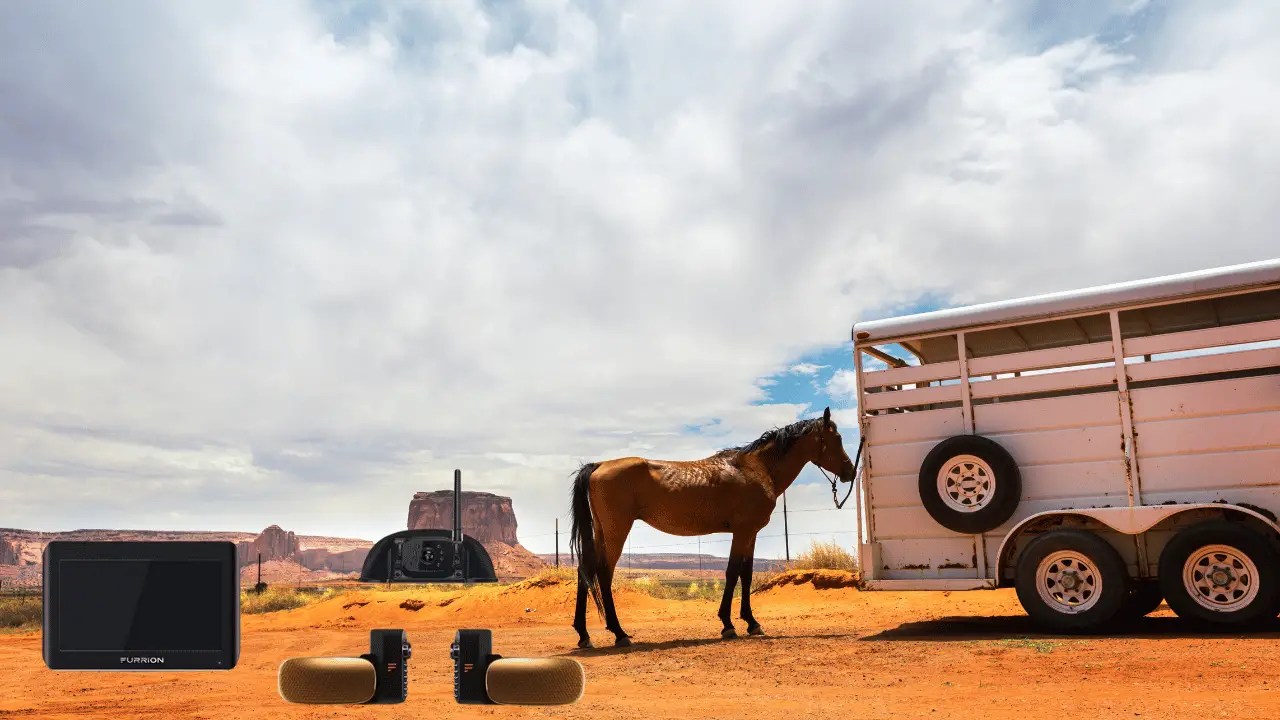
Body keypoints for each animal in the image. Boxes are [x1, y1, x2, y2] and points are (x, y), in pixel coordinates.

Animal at [568, 407, 857, 648]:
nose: (850, 472)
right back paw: (619, 633)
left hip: (600, 532)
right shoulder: (743, 531)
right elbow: (732, 573)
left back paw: (584, 635)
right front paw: (728, 625)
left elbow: (746, 575)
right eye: (837, 438)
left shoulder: (750, 533)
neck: (757, 468)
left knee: (585, 571)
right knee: (603, 573)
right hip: (616, 531)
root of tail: (598, 465)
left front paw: (751, 623)